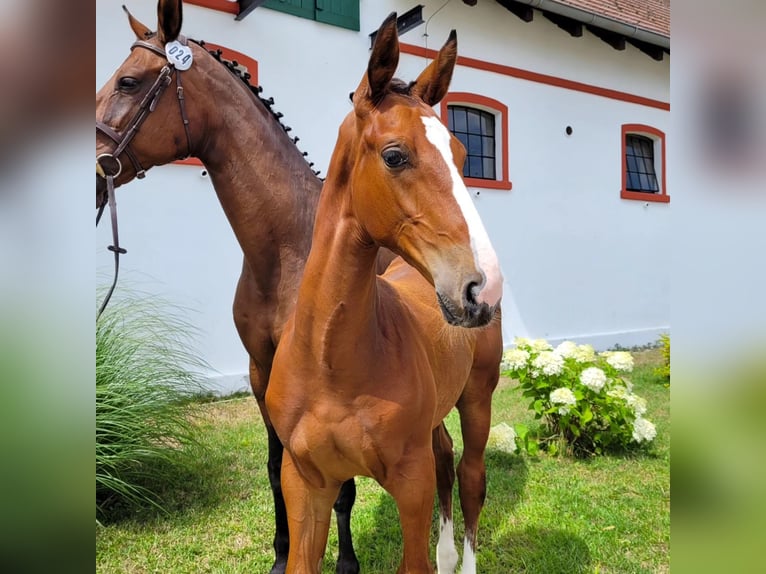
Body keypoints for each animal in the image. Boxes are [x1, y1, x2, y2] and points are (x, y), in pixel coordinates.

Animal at [95, 1, 372, 572]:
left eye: (129, 81)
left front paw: (347, 564)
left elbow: (340, 484)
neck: (289, 250)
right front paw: (281, 556)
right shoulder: (262, 373)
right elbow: (276, 468)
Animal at [268, 13, 508, 574]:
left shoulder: (410, 485)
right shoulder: (305, 484)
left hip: (477, 398)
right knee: (445, 456)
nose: (483, 286)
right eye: (395, 155)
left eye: (463, 154)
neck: (331, 362)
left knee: (470, 476)